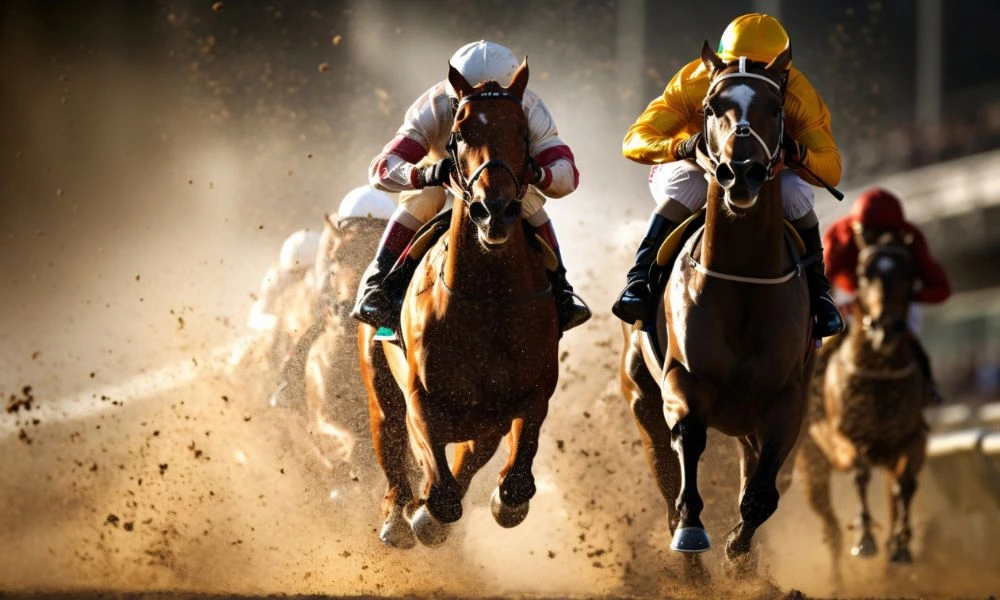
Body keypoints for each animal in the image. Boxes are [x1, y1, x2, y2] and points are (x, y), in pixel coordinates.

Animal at [358, 60, 560, 548]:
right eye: (461, 131)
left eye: (523, 131)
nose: (495, 210)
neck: (488, 300)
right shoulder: (420, 399)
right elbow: (442, 491)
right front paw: (424, 513)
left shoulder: (530, 394)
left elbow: (514, 479)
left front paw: (504, 500)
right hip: (379, 390)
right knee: (393, 446)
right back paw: (398, 517)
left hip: (484, 422)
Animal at [620, 42, 812, 576]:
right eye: (710, 108)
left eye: (776, 109)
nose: (741, 172)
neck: (743, 280)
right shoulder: (685, 379)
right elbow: (688, 442)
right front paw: (692, 532)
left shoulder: (787, 399)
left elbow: (761, 496)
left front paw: (740, 554)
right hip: (641, 394)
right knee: (665, 473)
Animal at [796, 230, 926, 581]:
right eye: (865, 275)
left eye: (908, 273)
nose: (885, 327)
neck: (879, 375)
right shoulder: (838, 436)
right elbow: (859, 471)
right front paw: (866, 538)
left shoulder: (914, 438)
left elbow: (905, 484)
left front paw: (901, 547)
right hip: (810, 465)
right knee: (829, 526)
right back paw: (837, 579)